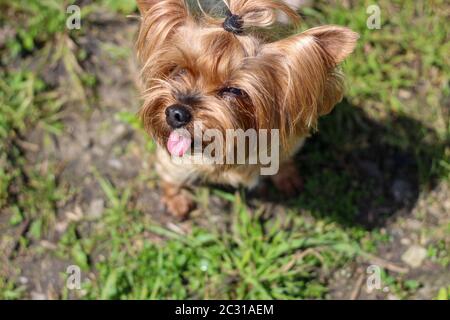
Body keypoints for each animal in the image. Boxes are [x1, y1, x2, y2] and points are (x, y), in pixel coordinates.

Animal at [135, 0, 356, 218]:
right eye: (179, 70)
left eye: (234, 90)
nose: (176, 113)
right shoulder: (174, 160)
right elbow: (170, 175)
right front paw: (176, 199)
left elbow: (283, 159)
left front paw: (287, 176)